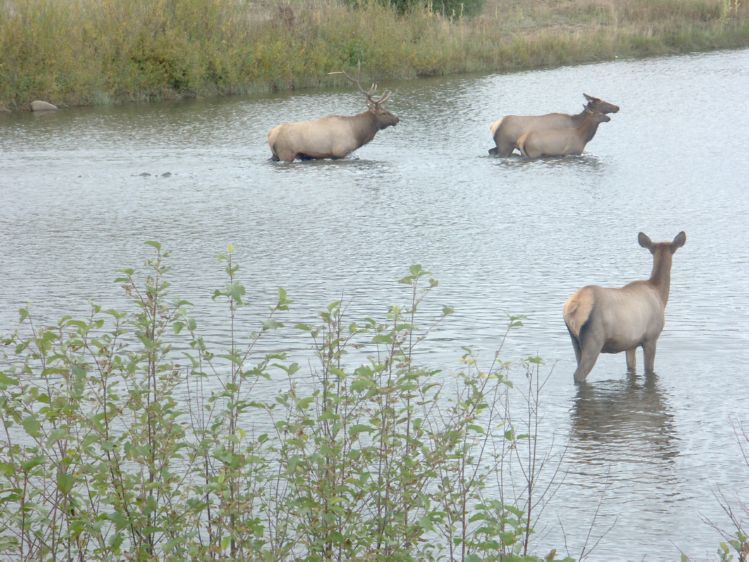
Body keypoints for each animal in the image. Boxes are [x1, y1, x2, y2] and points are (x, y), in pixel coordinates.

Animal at [267, 71, 399, 162]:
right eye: (383, 113)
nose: (397, 119)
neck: (357, 133)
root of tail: (271, 135)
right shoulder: (340, 152)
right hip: (286, 153)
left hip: (275, 155)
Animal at [563, 231, 687, 383]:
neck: (660, 294)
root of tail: (572, 307)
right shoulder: (651, 338)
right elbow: (649, 370)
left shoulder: (631, 344)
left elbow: (631, 368)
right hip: (594, 340)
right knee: (578, 374)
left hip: (575, 341)